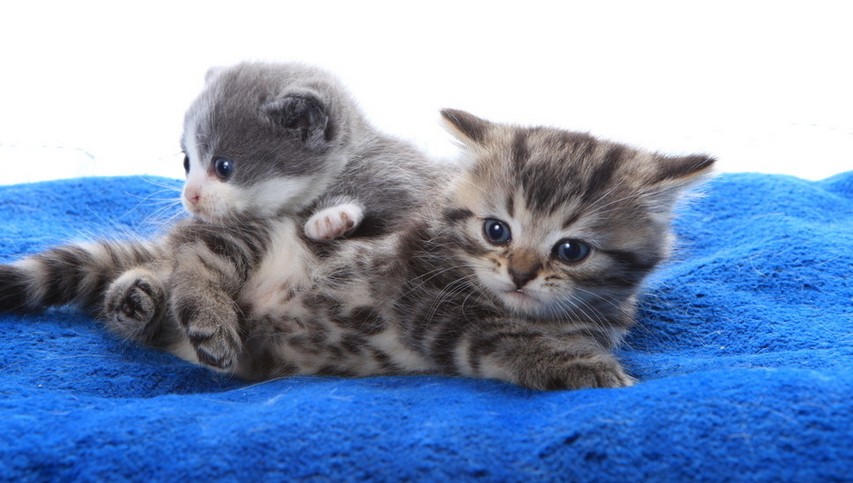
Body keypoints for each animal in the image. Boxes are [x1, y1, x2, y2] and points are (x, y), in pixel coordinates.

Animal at [0, 61, 445, 370]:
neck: (345, 160)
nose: (190, 197)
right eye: (186, 162)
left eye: (223, 166)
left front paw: (332, 217)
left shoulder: (405, 180)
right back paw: (134, 298)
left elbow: (393, 207)